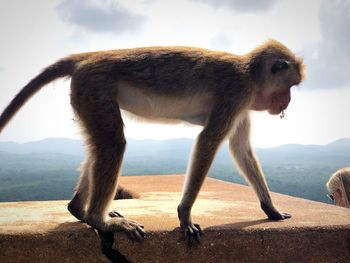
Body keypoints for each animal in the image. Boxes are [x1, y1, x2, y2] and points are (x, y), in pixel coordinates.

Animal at [0, 39, 304, 245]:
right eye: (290, 86)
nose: (288, 102)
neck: (249, 74)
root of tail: (93, 56)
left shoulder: (242, 105)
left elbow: (241, 149)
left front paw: (270, 208)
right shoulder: (236, 93)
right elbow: (208, 141)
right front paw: (184, 215)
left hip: (87, 93)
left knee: (100, 146)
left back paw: (79, 209)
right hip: (95, 88)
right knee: (112, 144)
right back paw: (100, 220)